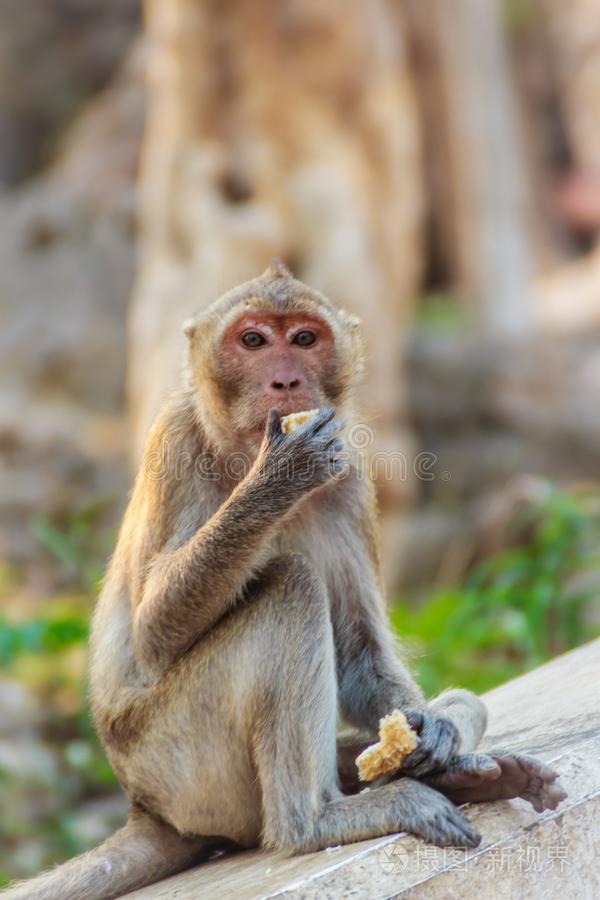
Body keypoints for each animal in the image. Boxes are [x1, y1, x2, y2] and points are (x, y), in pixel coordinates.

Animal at [4, 260, 564, 900]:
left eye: (303, 339)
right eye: (252, 340)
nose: (286, 381)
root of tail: (148, 809)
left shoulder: (351, 473)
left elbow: (359, 656)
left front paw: (429, 731)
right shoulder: (175, 438)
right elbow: (150, 635)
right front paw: (279, 476)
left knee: (458, 699)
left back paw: (465, 774)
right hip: (178, 762)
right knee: (290, 587)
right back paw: (314, 821)